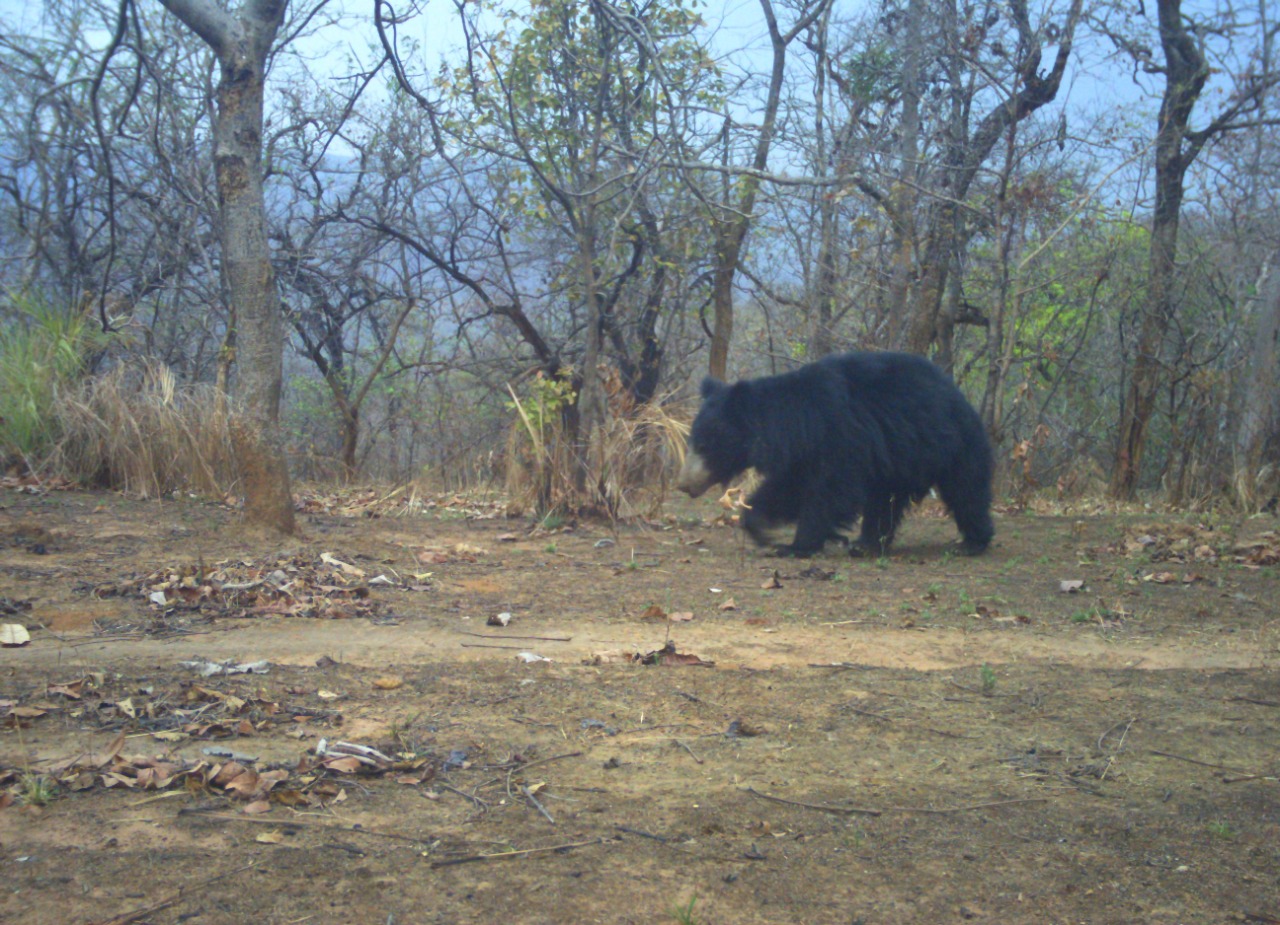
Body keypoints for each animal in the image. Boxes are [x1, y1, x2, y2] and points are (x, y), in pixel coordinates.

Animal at [675, 353, 993, 557]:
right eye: (692, 441)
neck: (796, 424)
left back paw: (972, 542)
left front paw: (795, 546)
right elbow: (787, 488)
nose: (683, 484)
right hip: (898, 460)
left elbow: (829, 491)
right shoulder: (802, 454)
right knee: (885, 500)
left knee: (966, 490)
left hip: (950, 445)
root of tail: (961, 398)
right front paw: (758, 527)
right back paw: (867, 544)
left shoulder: (839, 437)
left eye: (704, 446)